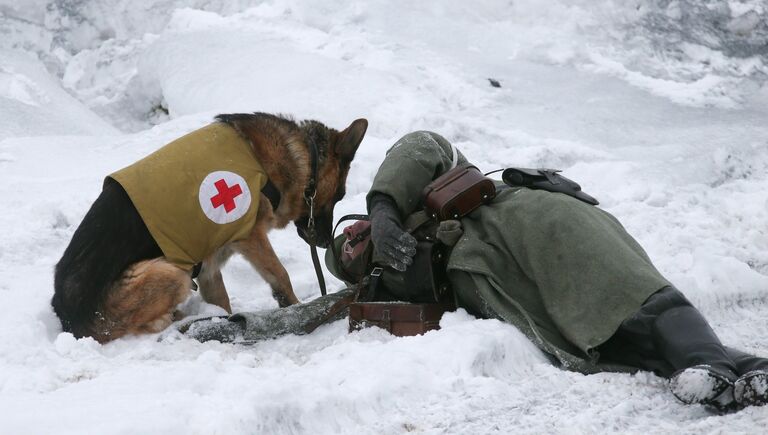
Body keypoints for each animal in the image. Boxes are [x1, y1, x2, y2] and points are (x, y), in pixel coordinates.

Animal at [52, 112, 368, 344]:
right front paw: (293, 308)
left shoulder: (210, 265)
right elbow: (280, 275)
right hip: (170, 273)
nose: (327, 242)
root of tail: (67, 316)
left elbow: (222, 303)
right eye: (340, 195)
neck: (300, 158)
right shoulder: (251, 237)